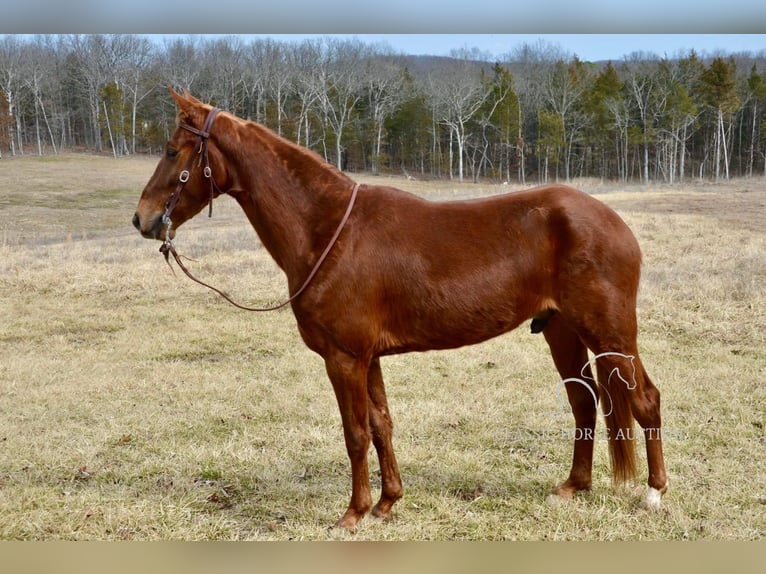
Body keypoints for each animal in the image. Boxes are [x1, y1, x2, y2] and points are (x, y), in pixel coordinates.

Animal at [135, 89, 668, 532]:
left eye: (172, 150)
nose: (142, 219)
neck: (328, 231)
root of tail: (615, 223)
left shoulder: (344, 358)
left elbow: (354, 433)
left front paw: (353, 514)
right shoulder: (368, 358)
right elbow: (380, 425)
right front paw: (388, 503)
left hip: (611, 335)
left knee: (644, 400)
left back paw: (654, 493)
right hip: (563, 331)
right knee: (584, 402)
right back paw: (573, 486)